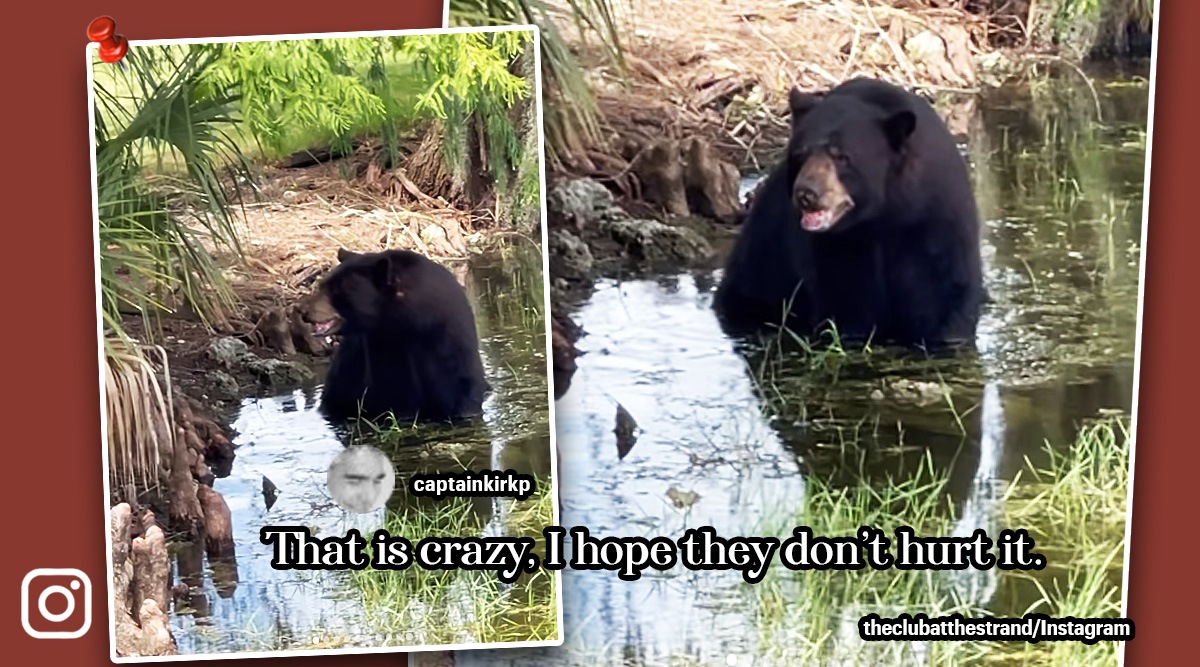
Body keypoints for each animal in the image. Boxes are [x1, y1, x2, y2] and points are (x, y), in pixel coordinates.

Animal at [299, 247, 489, 424]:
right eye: (323, 285)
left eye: (337, 290)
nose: (304, 311)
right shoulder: (384, 351)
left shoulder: (448, 344)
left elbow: (460, 391)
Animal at [713, 77, 984, 349]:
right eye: (800, 153)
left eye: (842, 157)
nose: (806, 194)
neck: (881, 216)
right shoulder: (836, 248)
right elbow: (845, 304)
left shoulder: (934, 224)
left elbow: (943, 299)